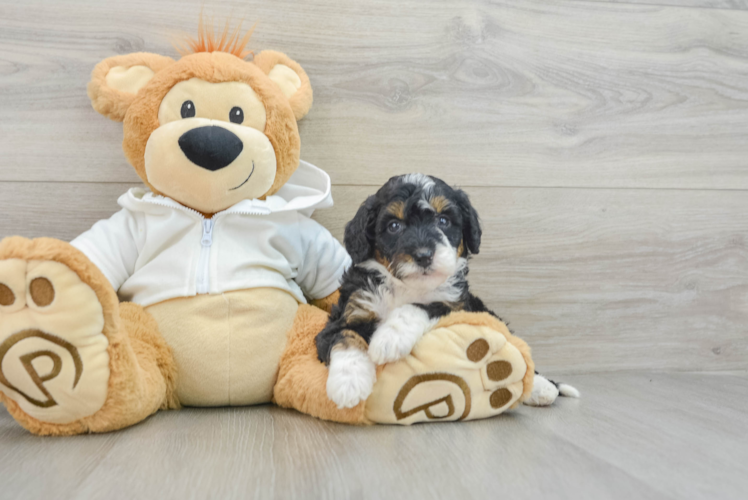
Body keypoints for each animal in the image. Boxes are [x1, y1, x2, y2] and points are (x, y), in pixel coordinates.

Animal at [316, 174, 580, 408]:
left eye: (443, 221)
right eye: (394, 226)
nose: (423, 255)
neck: (406, 286)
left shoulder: (456, 306)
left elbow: (422, 306)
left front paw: (389, 338)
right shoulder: (349, 312)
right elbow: (345, 337)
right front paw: (348, 384)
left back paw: (541, 387)